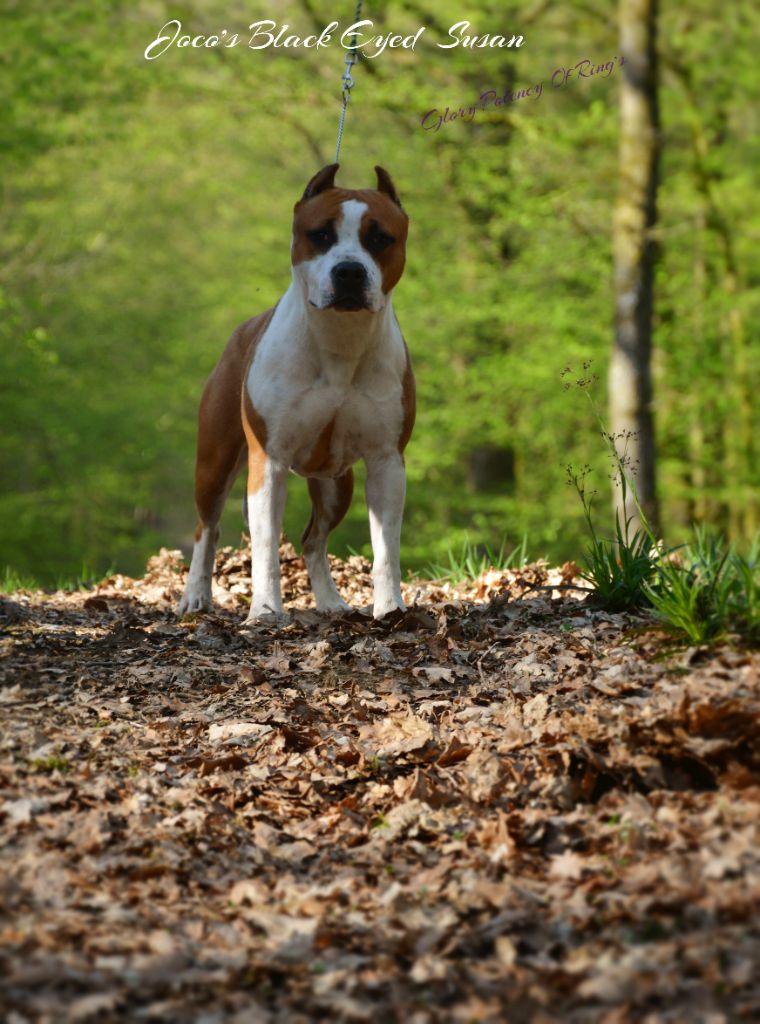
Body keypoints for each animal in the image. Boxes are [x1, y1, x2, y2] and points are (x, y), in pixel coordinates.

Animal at [178, 163, 415, 622]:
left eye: (380, 238)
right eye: (320, 234)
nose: (349, 271)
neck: (340, 340)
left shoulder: (386, 462)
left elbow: (386, 550)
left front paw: (389, 608)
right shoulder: (268, 461)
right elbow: (266, 547)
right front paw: (266, 610)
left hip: (336, 484)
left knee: (313, 539)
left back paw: (330, 601)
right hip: (214, 463)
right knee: (206, 528)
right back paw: (195, 597)